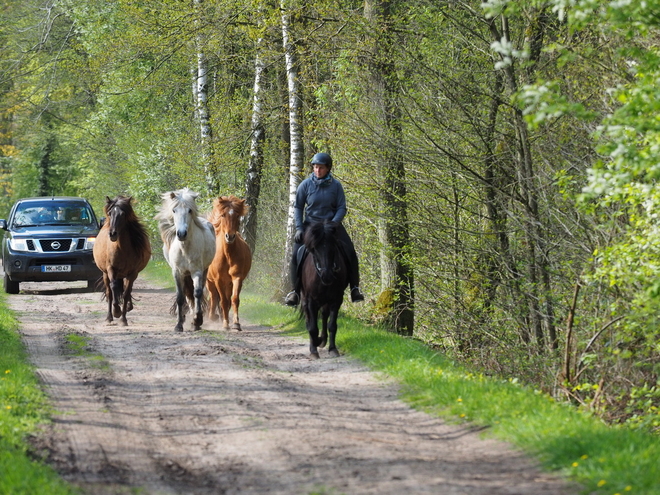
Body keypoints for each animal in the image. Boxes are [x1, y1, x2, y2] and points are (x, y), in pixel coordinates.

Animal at [93, 196, 151, 328]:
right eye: (110, 213)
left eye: (123, 214)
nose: (112, 234)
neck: (122, 249)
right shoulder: (111, 269)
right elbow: (114, 288)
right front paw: (116, 311)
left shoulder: (133, 273)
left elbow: (126, 293)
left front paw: (123, 319)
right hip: (105, 274)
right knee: (109, 292)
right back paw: (109, 317)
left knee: (126, 289)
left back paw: (128, 306)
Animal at [155, 190, 215, 334]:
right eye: (174, 210)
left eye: (190, 210)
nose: (181, 234)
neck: (185, 248)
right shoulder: (177, 272)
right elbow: (180, 297)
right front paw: (178, 325)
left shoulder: (197, 272)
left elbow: (197, 293)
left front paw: (197, 321)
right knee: (186, 295)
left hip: (204, 271)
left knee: (195, 293)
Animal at [206, 196, 253, 332]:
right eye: (223, 215)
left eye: (237, 215)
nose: (230, 236)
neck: (227, 255)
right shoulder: (218, 280)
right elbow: (223, 301)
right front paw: (226, 324)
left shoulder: (237, 278)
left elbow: (234, 299)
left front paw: (236, 323)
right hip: (209, 281)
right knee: (213, 297)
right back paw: (213, 316)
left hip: (229, 283)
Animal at [300, 223, 350, 358]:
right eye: (315, 249)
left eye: (333, 248)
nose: (327, 276)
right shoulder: (311, 300)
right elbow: (312, 327)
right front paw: (313, 350)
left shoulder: (336, 299)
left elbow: (332, 325)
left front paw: (332, 349)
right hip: (306, 299)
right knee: (309, 319)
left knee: (324, 315)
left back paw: (322, 340)